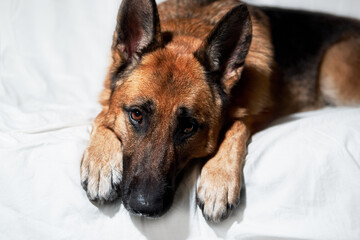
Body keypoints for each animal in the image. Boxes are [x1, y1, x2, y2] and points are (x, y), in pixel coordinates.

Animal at [79, 0, 360, 222]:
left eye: (189, 127)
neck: (189, 26)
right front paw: (100, 163)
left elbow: (237, 125)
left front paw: (218, 180)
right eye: (136, 115)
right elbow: (102, 116)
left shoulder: (256, 115)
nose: (144, 207)